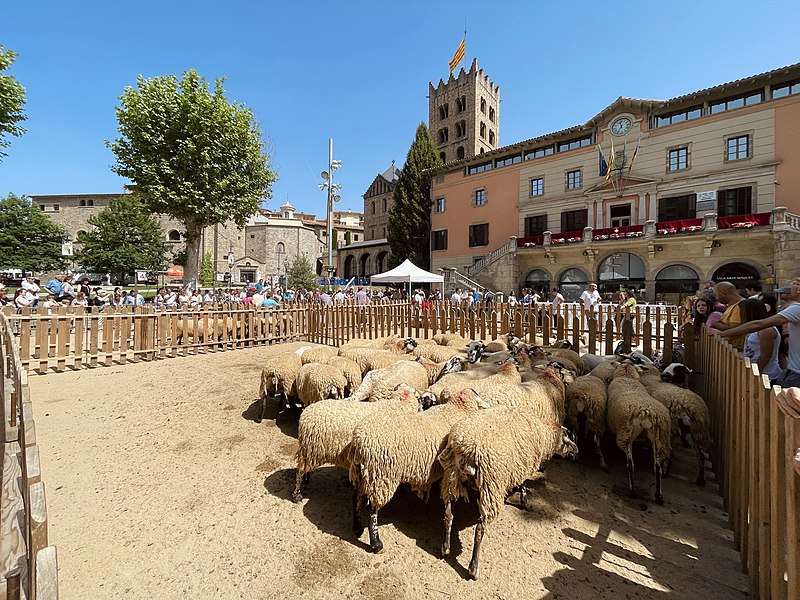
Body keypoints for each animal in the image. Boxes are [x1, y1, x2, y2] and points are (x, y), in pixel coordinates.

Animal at [348, 390, 490, 552]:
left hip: (363, 473)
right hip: (381, 475)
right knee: (372, 508)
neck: (457, 409)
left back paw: (358, 528)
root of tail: (359, 442)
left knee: (356, 496)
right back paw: (376, 544)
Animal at [438, 410, 580, 580]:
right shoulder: (525, 466)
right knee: (479, 529)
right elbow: (524, 484)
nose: (574, 456)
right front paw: (525, 502)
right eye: (568, 440)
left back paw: (445, 549)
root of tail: (466, 449)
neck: (545, 434)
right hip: (491, 486)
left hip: (451, 477)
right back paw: (473, 569)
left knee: (448, 514)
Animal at [608, 364, 672, 504]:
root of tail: (645, 412)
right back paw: (658, 496)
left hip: (626, 436)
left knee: (630, 465)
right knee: (657, 468)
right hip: (658, 440)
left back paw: (632, 491)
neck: (627, 377)